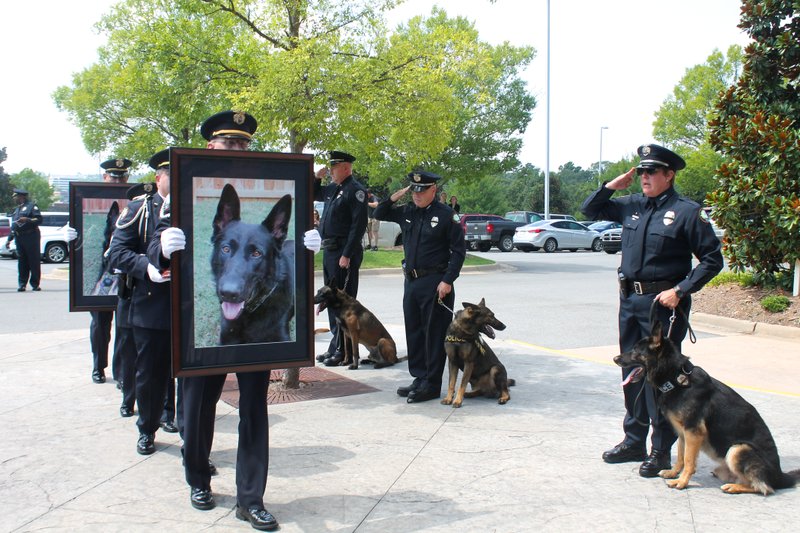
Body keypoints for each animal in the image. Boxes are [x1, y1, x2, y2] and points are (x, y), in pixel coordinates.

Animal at [616, 318, 796, 492]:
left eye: (635, 351)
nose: (615, 359)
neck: (676, 378)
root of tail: (780, 476)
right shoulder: (683, 433)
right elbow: (681, 456)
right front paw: (673, 473)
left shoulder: (693, 432)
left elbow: (689, 460)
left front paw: (682, 482)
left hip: (738, 449)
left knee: (764, 487)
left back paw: (734, 487)